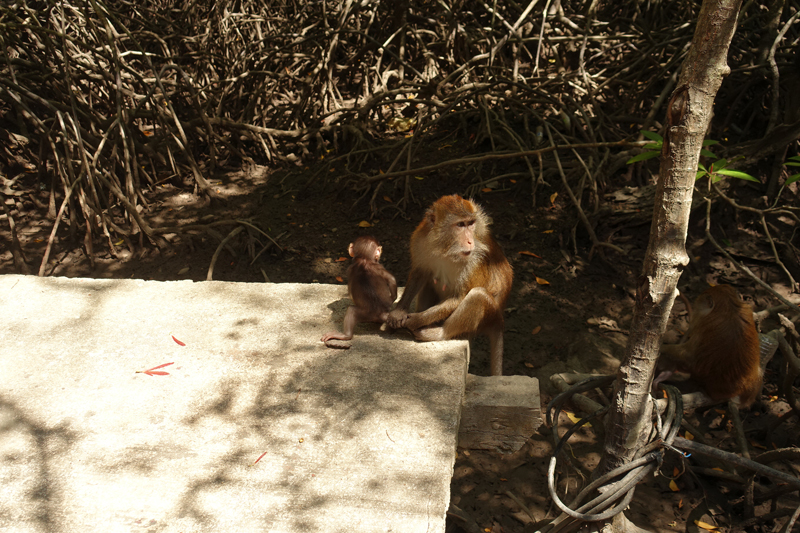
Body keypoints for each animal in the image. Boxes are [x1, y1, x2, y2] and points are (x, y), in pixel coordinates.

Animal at [382, 195, 510, 374]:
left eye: (471, 223)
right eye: (460, 225)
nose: (470, 241)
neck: (446, 248)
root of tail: (500, 320)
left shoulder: (475, 258)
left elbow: (459, 297)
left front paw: (414, 320)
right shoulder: (420, 239)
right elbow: (420, 272)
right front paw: (398, 312)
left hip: (489, 316)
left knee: (478, 295)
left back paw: (437, 332)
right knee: (430, 281)